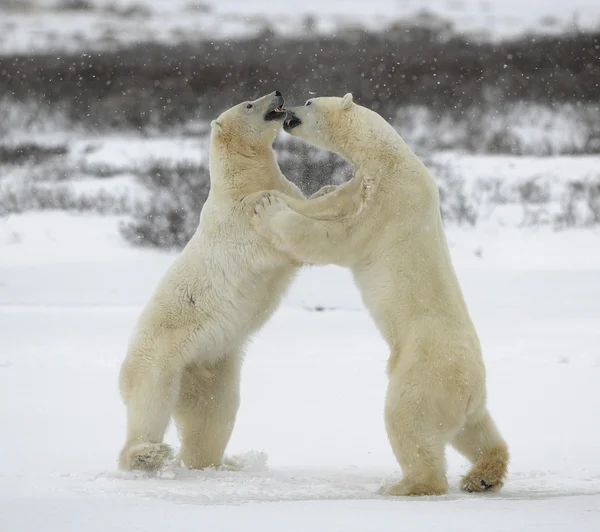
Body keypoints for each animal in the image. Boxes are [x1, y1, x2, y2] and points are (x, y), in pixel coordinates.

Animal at [118, 91, 370, 470]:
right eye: (250, 104)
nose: (277, 92)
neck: (241, 181)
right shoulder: (242, 217)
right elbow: (285, 236)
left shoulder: (279, 187)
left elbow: (301, 201)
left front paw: (328, 187)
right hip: (161, 356)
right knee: (150, 404)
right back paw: (146, 454)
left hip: (213, 365)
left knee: (213, 416)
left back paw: (215, 462)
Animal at [251, 93, 508, 496]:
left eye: (309, 100)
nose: (287, 108)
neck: (390, 157)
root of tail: (470, 387)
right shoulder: (362, 183)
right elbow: (328, 203)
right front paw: (292, 195)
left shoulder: (389, 203)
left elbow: (337, 239)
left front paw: (268, 207)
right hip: (468, 402)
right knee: (478, 431)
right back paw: (483, 473)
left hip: (422, 372)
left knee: (406, 418)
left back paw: (404, 485)